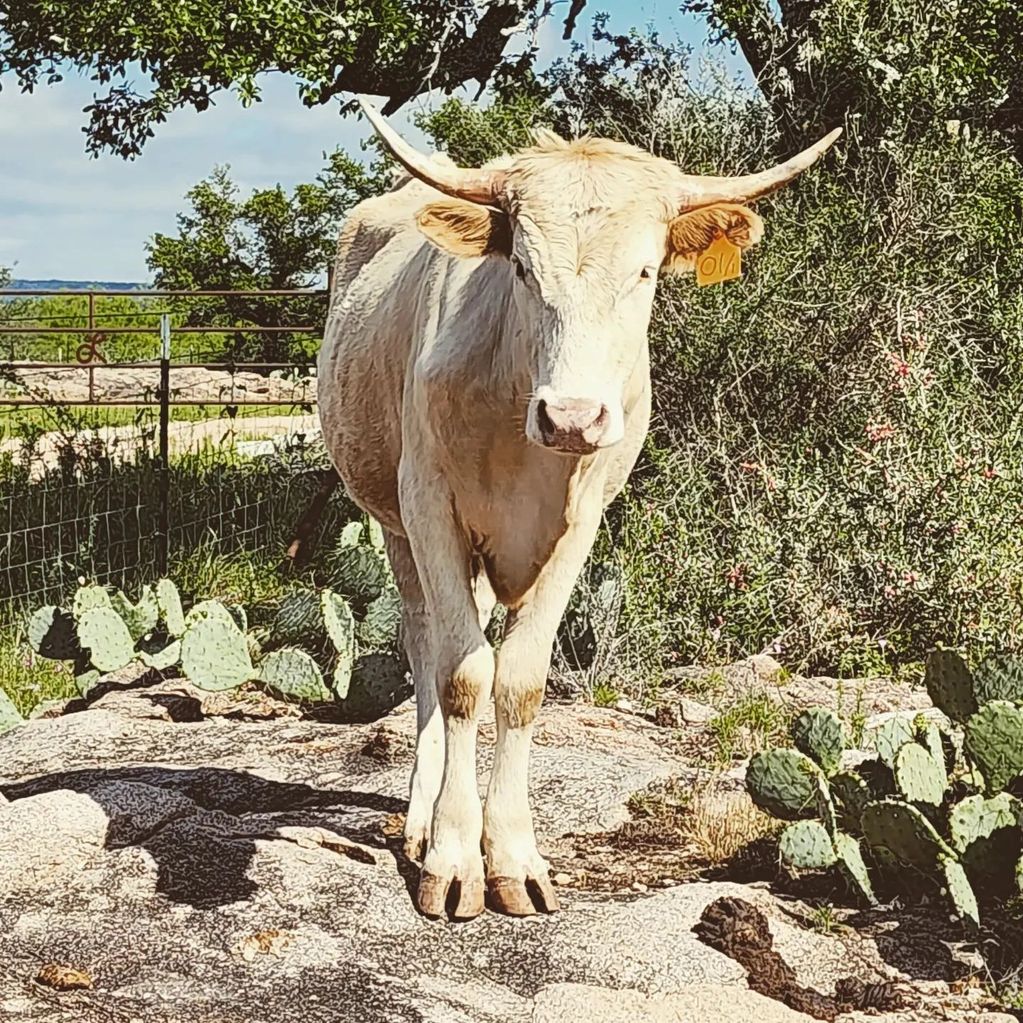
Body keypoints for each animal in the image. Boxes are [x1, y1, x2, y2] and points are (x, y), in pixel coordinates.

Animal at [319, 101, 838, 920]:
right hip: (394, 520)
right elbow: (463, 674)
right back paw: (422, 816)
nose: (571, 417)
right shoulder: (429, 504)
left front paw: (512, 855)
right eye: (523, 269)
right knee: (424, 642)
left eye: (645, 271)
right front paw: (455, 857)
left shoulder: (579, 525)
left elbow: (522, 681)